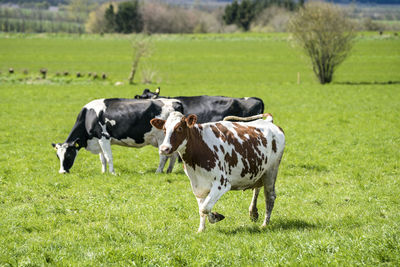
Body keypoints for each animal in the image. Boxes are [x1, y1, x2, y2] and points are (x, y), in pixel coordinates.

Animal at [52, 98, 184, 176]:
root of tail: (176, 102)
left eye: (69, 154)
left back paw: (158, 172)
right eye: (58, 156)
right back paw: (169, 171)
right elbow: (102, 158)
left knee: (164, 156)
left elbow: (108, 157)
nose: (62, 172)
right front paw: (103, 172)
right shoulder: (98, 139)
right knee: (173, 155)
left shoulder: (103, 136)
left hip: (162, 137)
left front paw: (112, 173)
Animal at [150, 111, 284, 232]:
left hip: (271, 171)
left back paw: (265, 224)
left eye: (179, 128)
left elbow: (205, 208)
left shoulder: (222, 184)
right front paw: (201, 229)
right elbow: (202, 209)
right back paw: (253, 212)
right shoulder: (197, 186)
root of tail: (268, 122)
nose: (164, 149)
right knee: (257, 189)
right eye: (164, 129)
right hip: (259, 171)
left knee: (270, 197)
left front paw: (215, 217)